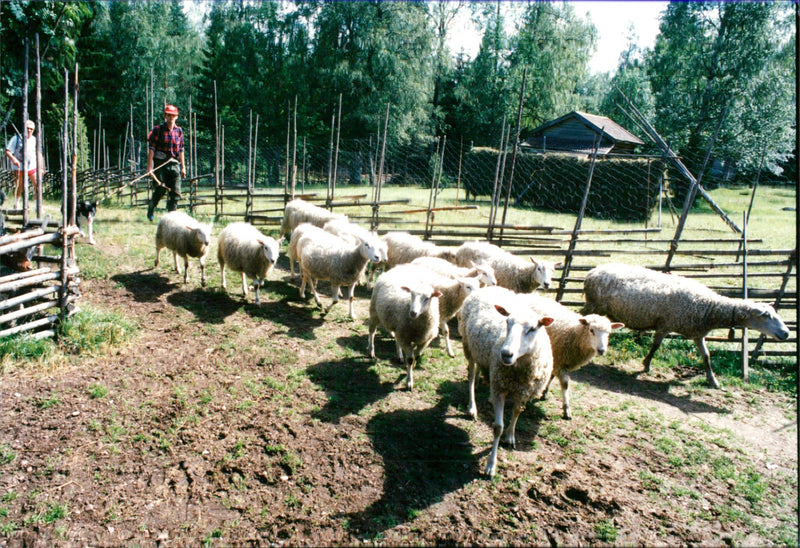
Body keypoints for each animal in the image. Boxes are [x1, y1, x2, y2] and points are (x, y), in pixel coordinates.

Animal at [460, 284, 552, 478]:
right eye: (507, 323)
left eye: (533, 328)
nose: (505, 354)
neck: (520, 369)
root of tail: (489, 287)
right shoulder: (500, 387)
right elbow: (497, 427)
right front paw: (491, 465)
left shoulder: (524, 390)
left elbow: (517, 411)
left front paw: (510, 436)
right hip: (468, 346)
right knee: (471, 377)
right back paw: (472, 407)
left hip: (482, 354)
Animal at [580, 264, 788, 390]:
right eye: (767, 316)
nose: (786, 333)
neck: (709, 307)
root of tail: (593, 271)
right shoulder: (666, 324)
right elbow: (656, 346)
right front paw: (646, 365)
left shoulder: (697, 333)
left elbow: (706, 355)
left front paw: (713, 380)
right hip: (593, 304)